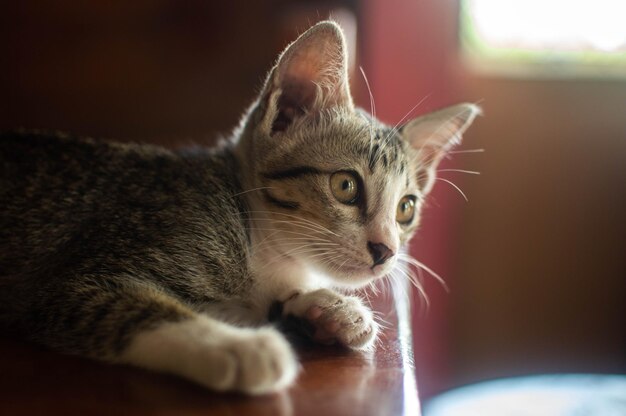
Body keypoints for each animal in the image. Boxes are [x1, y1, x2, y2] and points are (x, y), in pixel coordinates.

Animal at [0, 22, 478, 394]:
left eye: (405, 210)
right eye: (346, 186)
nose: (386, 251)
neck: (260, 245)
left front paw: (328, 309)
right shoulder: (73, 283)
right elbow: (136, 309)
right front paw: (236, 346)